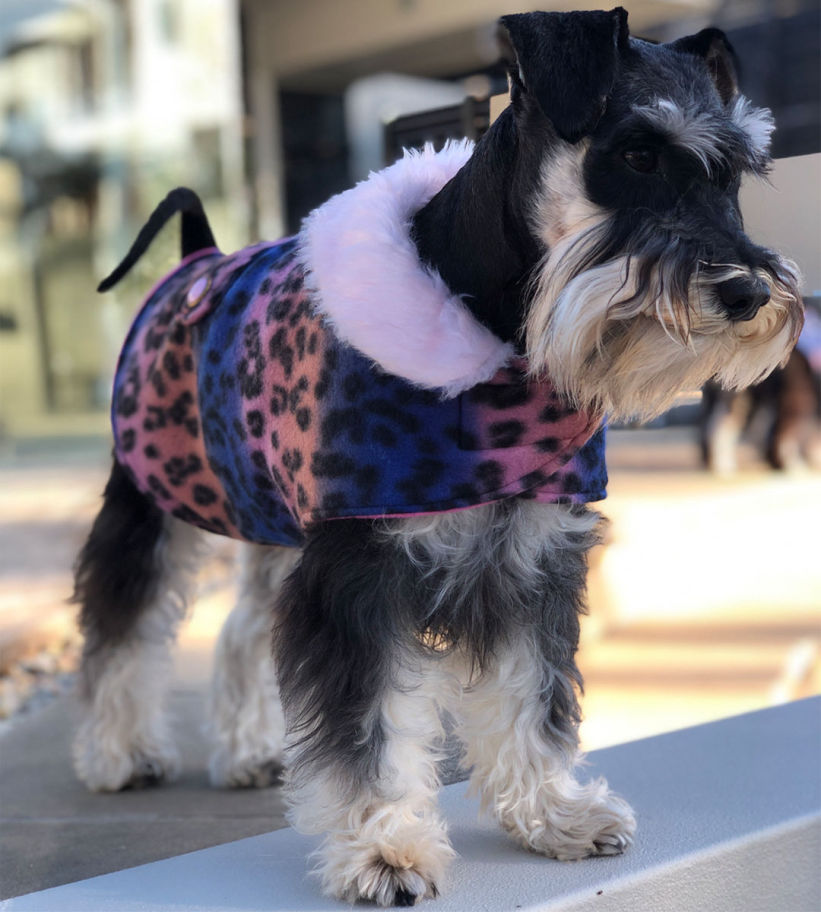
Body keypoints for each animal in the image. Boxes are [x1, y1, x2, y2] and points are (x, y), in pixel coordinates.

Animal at [72, 7, 800, 904]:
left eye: (733, 174)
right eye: (634, 154)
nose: (746, 292)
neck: (502, 351)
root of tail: (195, 259)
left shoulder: (531, 558)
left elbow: (531, 697)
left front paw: (553, 816)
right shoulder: (359, 575)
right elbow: (373, 728)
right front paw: (384, 851)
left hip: (276, 518)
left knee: (243, 627)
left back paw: (247, 750)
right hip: (149, 505)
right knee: (122, 629)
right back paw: (119, 754)